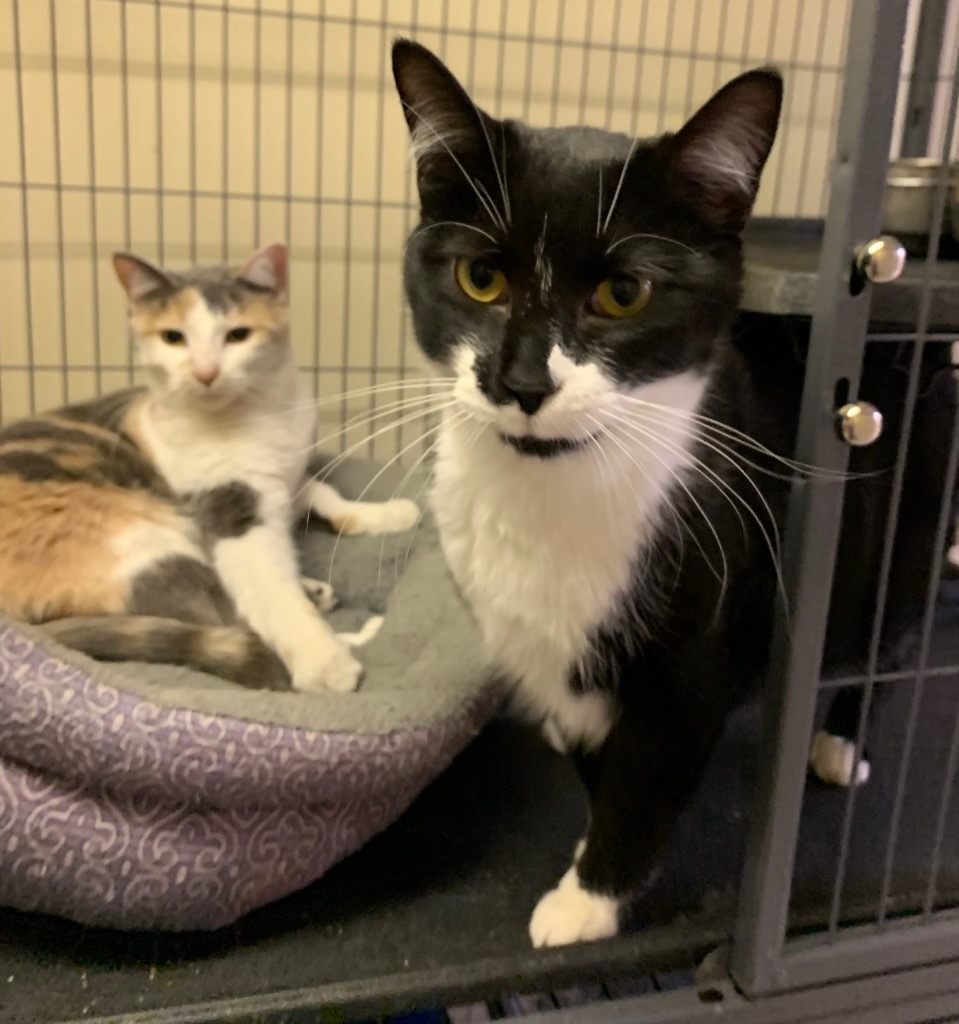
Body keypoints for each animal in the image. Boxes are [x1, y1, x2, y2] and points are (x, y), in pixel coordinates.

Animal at [0, 243, 419, 692]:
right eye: (173, 337)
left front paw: (389, 513)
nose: (205, 372)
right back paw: (355, 634)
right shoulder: (230, 508)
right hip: (147, 544)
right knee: (226, 618)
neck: (262, 415)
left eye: (238, 335)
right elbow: (270, 594)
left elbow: (323, 491)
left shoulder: (282, 479)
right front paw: (324, 661)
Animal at [390, 41, 957, 950]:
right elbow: (595, 757)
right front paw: (584, 837)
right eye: (479, 278)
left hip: (906, 521)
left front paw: (587, 900)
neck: (548, 486)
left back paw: (838, 741)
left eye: (623, 294)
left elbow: (646, 779)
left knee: (887, 633)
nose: (522, 383)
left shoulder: (694, 657)